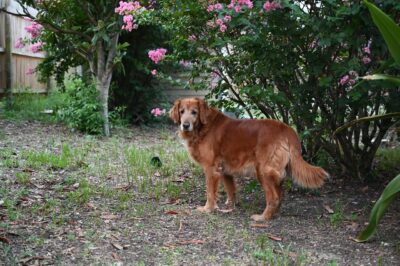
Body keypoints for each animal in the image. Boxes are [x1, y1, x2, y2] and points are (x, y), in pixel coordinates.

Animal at [169, 97, 328, 220]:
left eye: (194, 112)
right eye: (181, 112)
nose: (185, 125)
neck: (203, 127)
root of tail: (287, 129)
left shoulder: (211, 168)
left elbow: (210, 191)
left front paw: (208, 208)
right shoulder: (224, 170)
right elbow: (231, 190)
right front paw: (229, 207)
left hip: (263, 170)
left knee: (274, 197)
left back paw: (263, 217)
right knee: (280, 195)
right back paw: (273, 214)